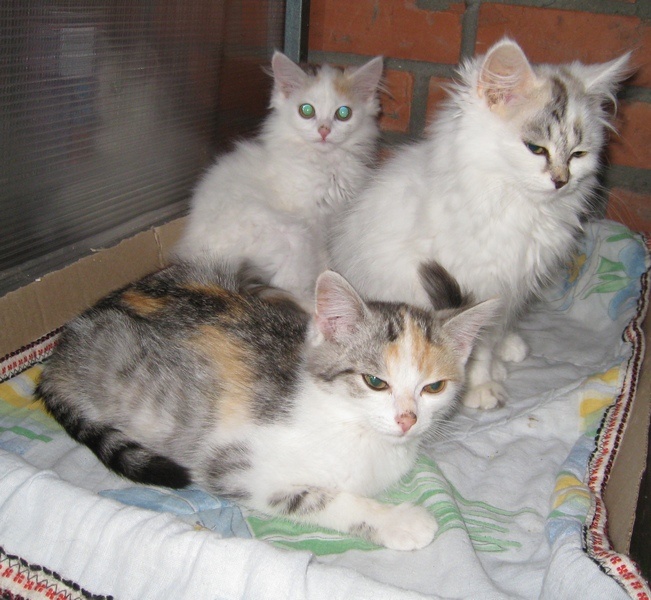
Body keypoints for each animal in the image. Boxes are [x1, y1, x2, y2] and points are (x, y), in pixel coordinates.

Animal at [37, 260, 497, 551]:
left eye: (433, 387)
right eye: (374, 382)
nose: (407, 419)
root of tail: (59, 351)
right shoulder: (233, 466)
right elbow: (320, 498)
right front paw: (400, 521)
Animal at [176, 51, 384, 308]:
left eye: (343, 114)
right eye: (307, 110)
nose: (324, 131)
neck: (324, 163)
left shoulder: (332, 218)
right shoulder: (313, 224)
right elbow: (322, 259)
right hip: (294, 235)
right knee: (289, 285)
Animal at [328, 37, 630, 410]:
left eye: (579, 155)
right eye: (535, 149)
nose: (561, 181)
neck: (517, 204)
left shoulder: (509, 288)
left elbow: (490, 336)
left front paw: (495, 362)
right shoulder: (472, 286)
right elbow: (470, 347)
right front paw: (480, 387)